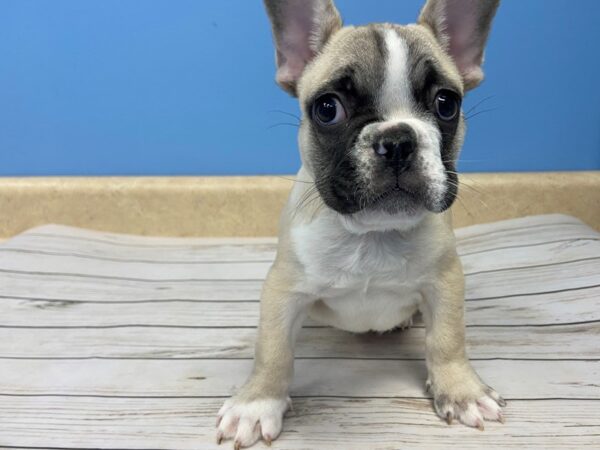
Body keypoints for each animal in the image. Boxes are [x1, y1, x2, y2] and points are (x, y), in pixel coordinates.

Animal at [216, 0, 502, 446]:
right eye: (327, 108)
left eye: (446, 104)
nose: (398, 140)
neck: (372, 235)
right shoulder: (283, 288)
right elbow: (273, 350)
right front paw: (257, 403)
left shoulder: (446, 282)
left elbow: (448, 340)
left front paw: (462, 391)